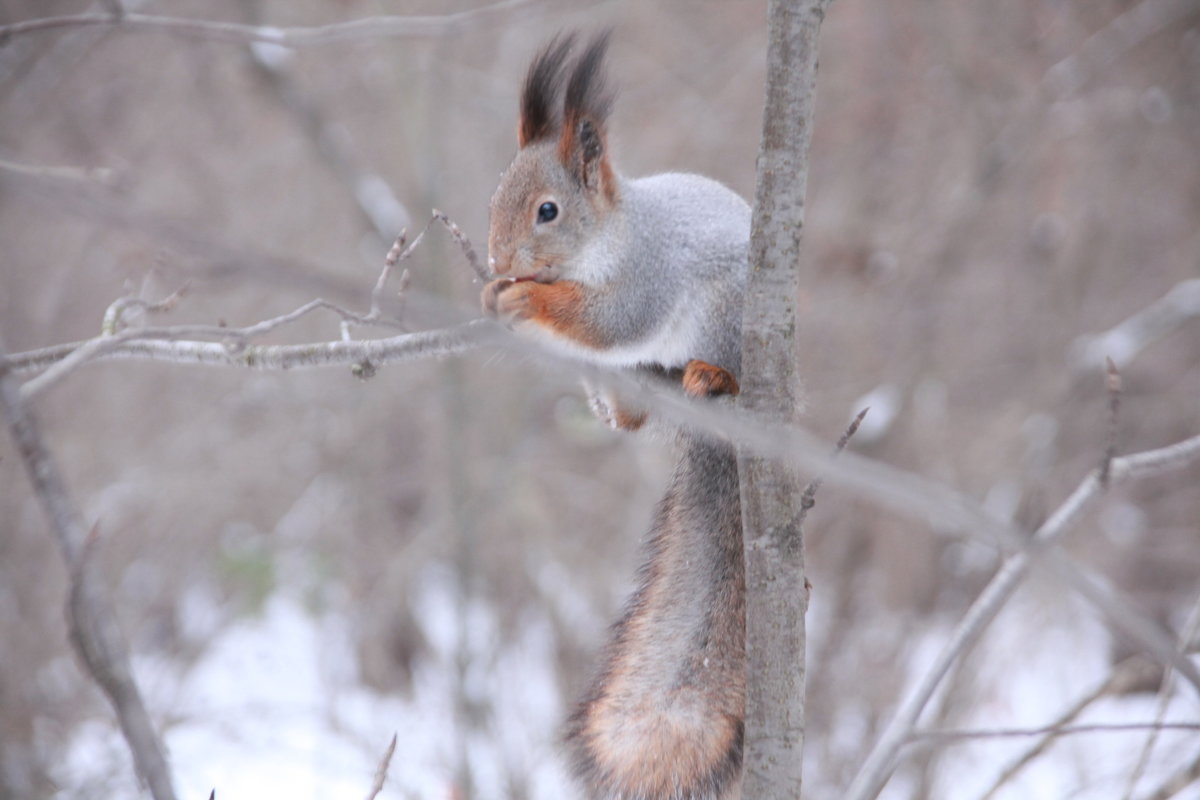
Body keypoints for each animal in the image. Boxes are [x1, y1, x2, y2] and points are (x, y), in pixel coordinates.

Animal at [480, 32, 744, 800]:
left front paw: (524, 299)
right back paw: (621, 406)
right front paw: (493, 294)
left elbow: (612, 321)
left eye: (547, 211)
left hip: (729, 323)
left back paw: (711, 375)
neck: (608, 239)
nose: (497, 259)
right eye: (496, 194)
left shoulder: (646, 278)